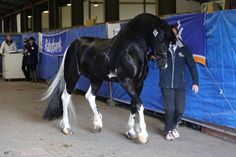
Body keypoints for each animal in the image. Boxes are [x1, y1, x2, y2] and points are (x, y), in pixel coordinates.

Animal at [42, 13, 175, 144]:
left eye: (169, 41)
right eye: (159, 37)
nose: (163, 64)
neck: (131, 49)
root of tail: (71, 45)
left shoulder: (139, 84)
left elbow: (134, 105)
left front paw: (131, 132)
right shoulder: (126, 81)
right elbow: (140, 104)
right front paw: (143, 135)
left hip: (96, 79)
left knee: (90, 96)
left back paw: (97, 123)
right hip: (72, 76)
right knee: (65, 97)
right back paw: (66, 128)